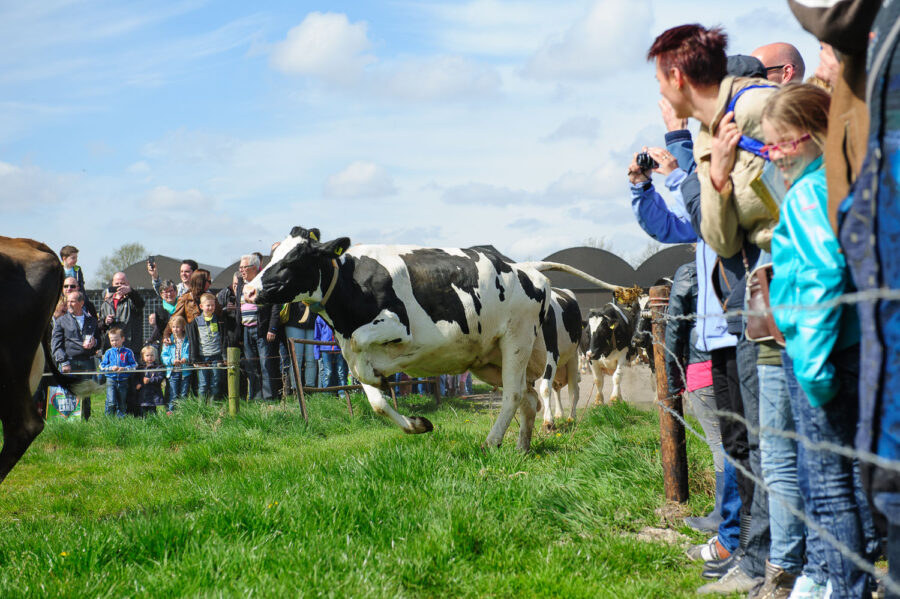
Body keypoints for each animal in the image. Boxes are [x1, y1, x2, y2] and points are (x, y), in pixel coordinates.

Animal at [536, 288, 580, 428]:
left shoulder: (552, 353)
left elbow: (544, 388)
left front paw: (548, 421)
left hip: (573, 358)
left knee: (573, 390)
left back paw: (572, 417)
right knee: (556, 388)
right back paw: (559, 413)